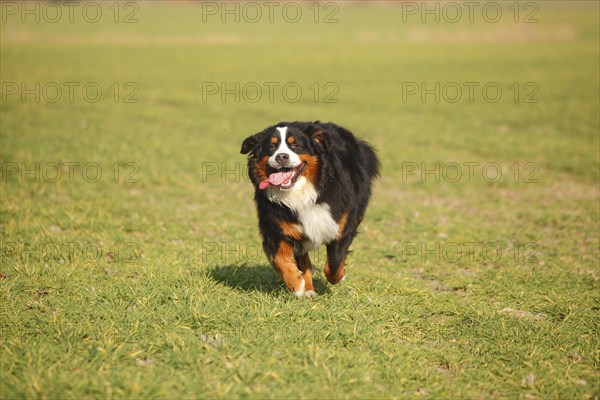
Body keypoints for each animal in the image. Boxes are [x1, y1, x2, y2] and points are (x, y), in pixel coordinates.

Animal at [240, 120, 378, 298]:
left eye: (295, 145)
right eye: (271, 147)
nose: (281, 156)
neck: (300, 192)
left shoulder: (340, 224)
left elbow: (334, 264)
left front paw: (340, 276)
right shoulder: (275, 226)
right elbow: (280, 258)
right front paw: (297, 284)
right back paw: (308, 289)